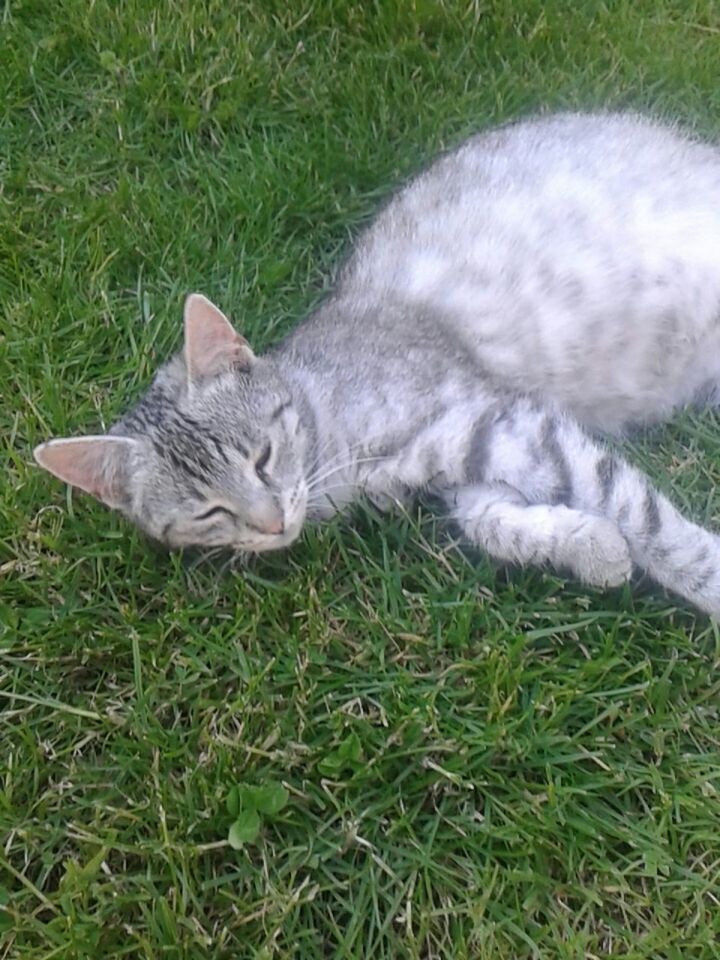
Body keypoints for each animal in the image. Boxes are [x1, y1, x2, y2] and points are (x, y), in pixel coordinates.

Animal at [32, 112, 720, 620]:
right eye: (208, 512)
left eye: (262, 458)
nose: (273, 523)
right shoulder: (474, 458)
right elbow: (493, 524)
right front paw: (595, 549)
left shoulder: (505, 421)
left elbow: (639, 511)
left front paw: (698, 576)